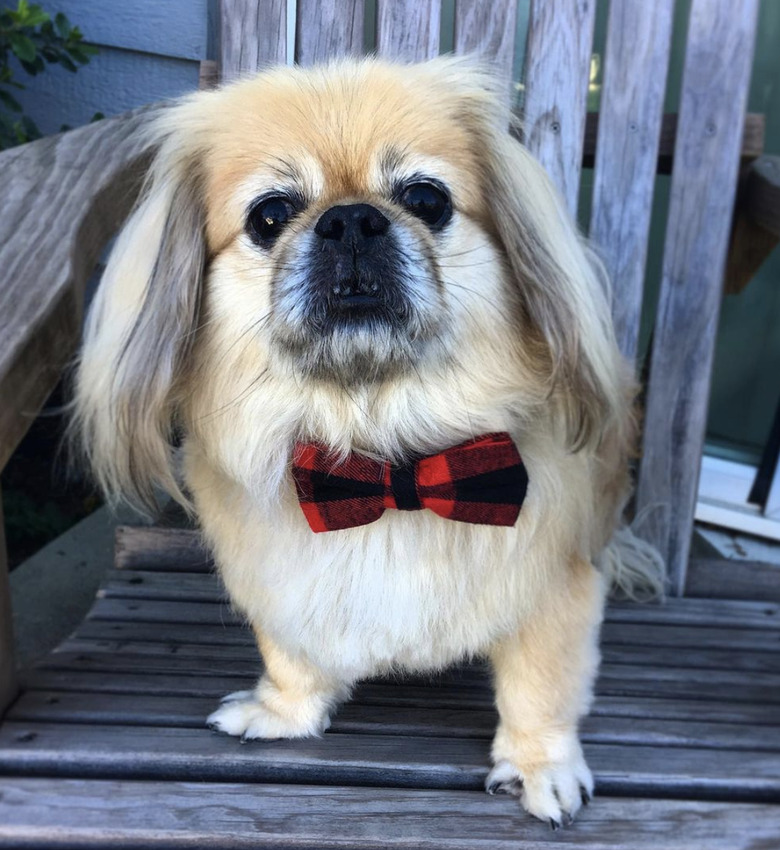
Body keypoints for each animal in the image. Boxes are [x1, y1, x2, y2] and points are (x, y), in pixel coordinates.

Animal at [73, 56, 660, 824]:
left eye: (426, 198)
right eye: (270, 215)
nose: (351, 219)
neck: (382, 450)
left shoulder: (554, 588)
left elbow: (541, 687)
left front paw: (541, 767)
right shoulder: (282, 580)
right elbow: (292, 655)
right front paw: (284, 713)